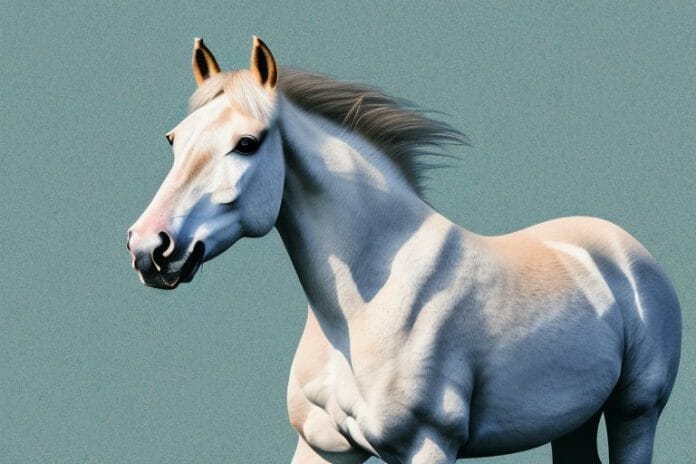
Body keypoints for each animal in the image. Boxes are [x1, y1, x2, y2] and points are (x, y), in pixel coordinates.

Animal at [126, 37, 681, 464]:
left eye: (247, 143)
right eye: (174, 139)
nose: (149, 247)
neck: (365, 304)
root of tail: (626, 250)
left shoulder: (428, 445)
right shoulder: (323, 445)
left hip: (634, 413)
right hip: (573, 421)